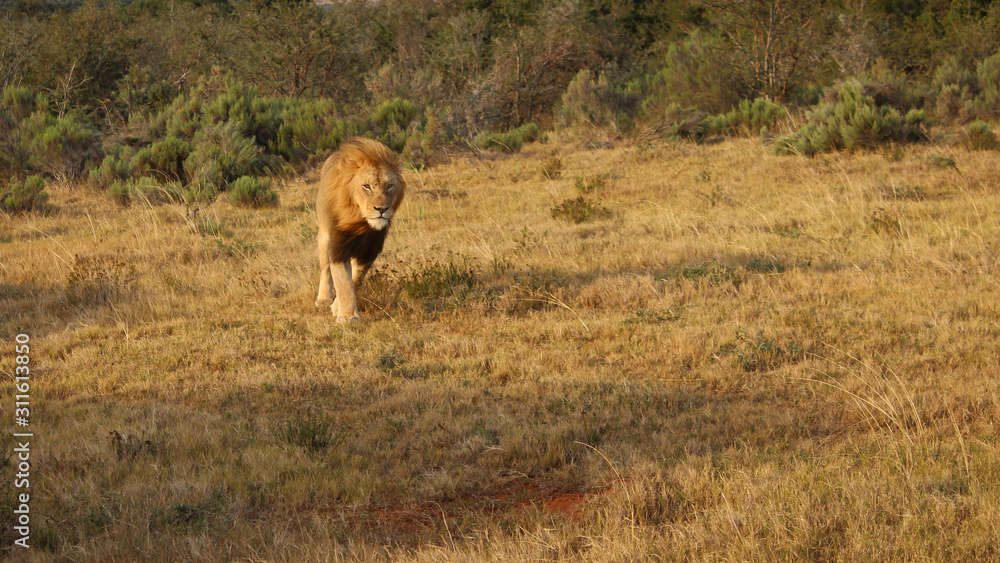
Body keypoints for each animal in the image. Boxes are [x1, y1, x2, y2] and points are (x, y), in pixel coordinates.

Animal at [314, 137, 406, 323]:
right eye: (367, 186)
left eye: (389, 186)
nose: (382, 209)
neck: (361, 223)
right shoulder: (339, 247)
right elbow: (343, 282)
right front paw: (347, 317)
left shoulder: (370, 250)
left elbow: (354, 279)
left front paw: (338, 308)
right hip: (324, 237)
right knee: (325, 270)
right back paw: (324, 299)